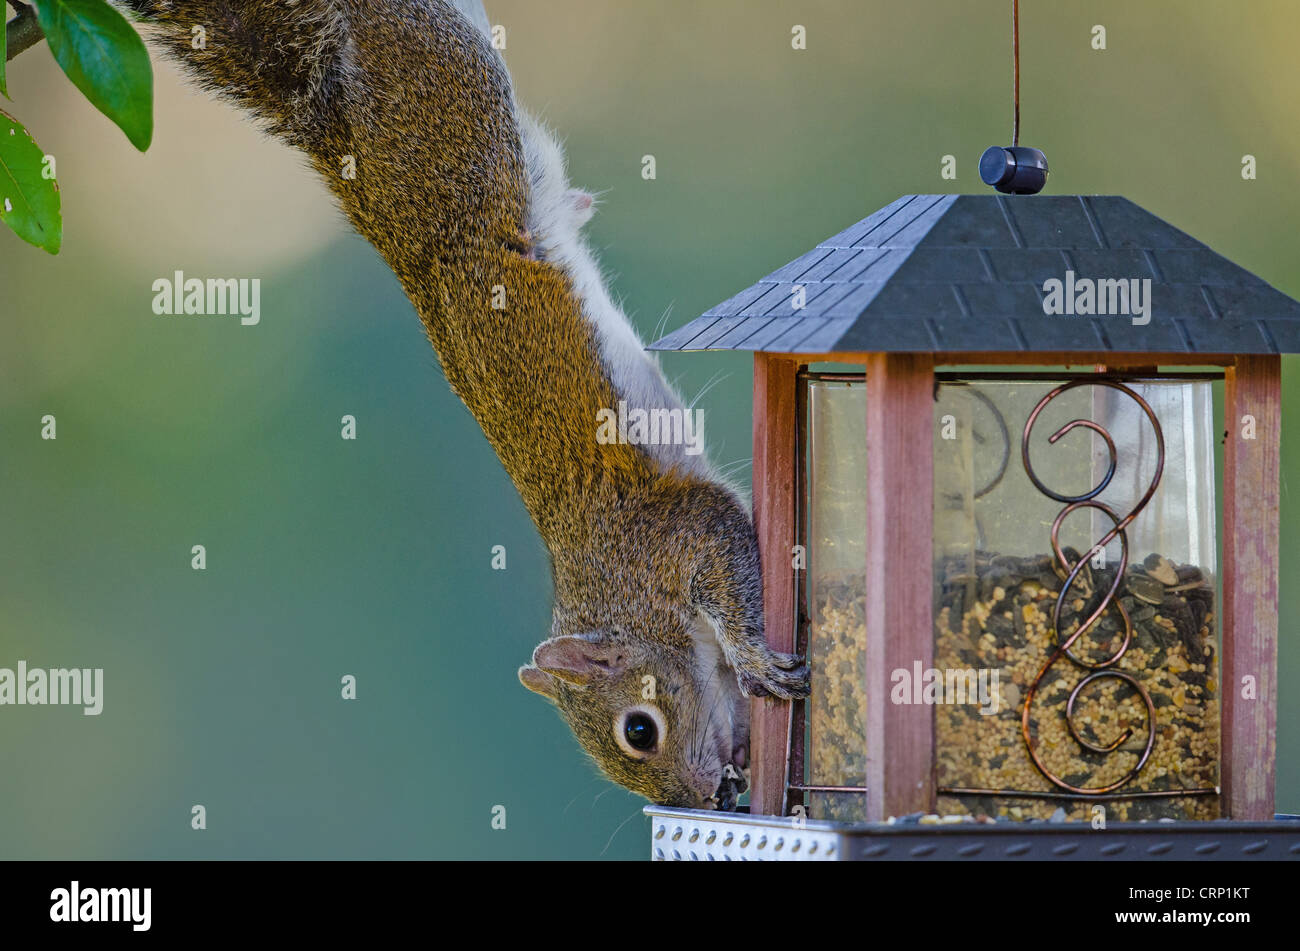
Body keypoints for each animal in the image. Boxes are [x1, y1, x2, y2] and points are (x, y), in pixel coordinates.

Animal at [116, 0, 809, 810]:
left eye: (640, 728)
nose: (708, 797)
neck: (611, 592)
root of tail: (344, 136)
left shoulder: (674, 536)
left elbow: (727, 567)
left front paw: (756, 657)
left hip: (455, 96)